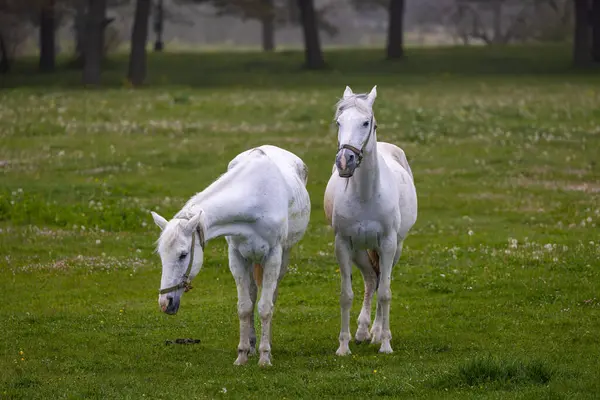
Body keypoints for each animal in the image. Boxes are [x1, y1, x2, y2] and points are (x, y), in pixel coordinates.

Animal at [150, 145, 312, 366]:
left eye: (183, 255)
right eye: (161, 255)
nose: (165, 303)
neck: (256, 197)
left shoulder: (273, 256)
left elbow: (265, 307)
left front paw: (265, 357)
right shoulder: (236, 257)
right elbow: (244, 307)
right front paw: (242, 354)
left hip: (282, 256)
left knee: (270, 297)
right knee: (252, 294)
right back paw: (252, 345)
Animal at [324, 86, 418, 354]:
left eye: (367, 123)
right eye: (339, 122)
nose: (345, 161)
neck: (366, 194)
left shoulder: (387, 244)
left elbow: (385, 293)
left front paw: (385, 344)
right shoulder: (343, 244)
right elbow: (346, 295)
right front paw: (343, 346)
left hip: (394, 248)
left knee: (380, 281)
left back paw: (376, 333)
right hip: (359, 251)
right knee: (370, 279)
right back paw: (363, 331)